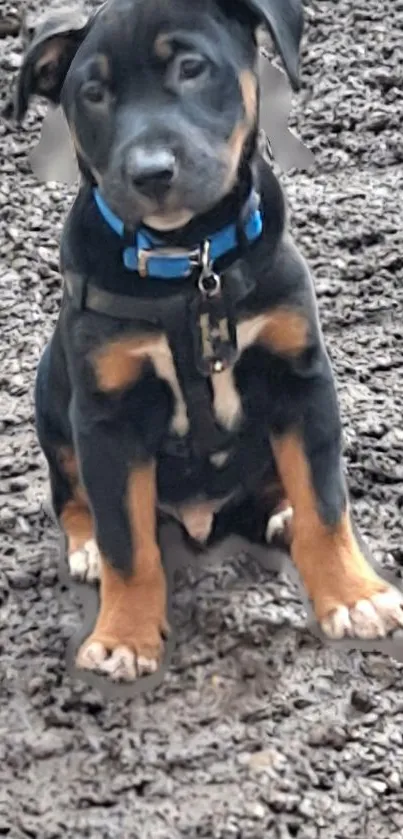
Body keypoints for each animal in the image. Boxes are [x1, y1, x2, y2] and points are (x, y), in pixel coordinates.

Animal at [12, 0, 403, 684]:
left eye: (191, 68)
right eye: (92, 94)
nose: (150, 174)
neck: (190, 266)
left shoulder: (301, 378)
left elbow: (326, 504)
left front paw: (353, 596)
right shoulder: (105, 418)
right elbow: (127, 540)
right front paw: (124, 636)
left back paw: (280, 509)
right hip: (51, 403)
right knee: (74, 498)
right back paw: (84, 547)